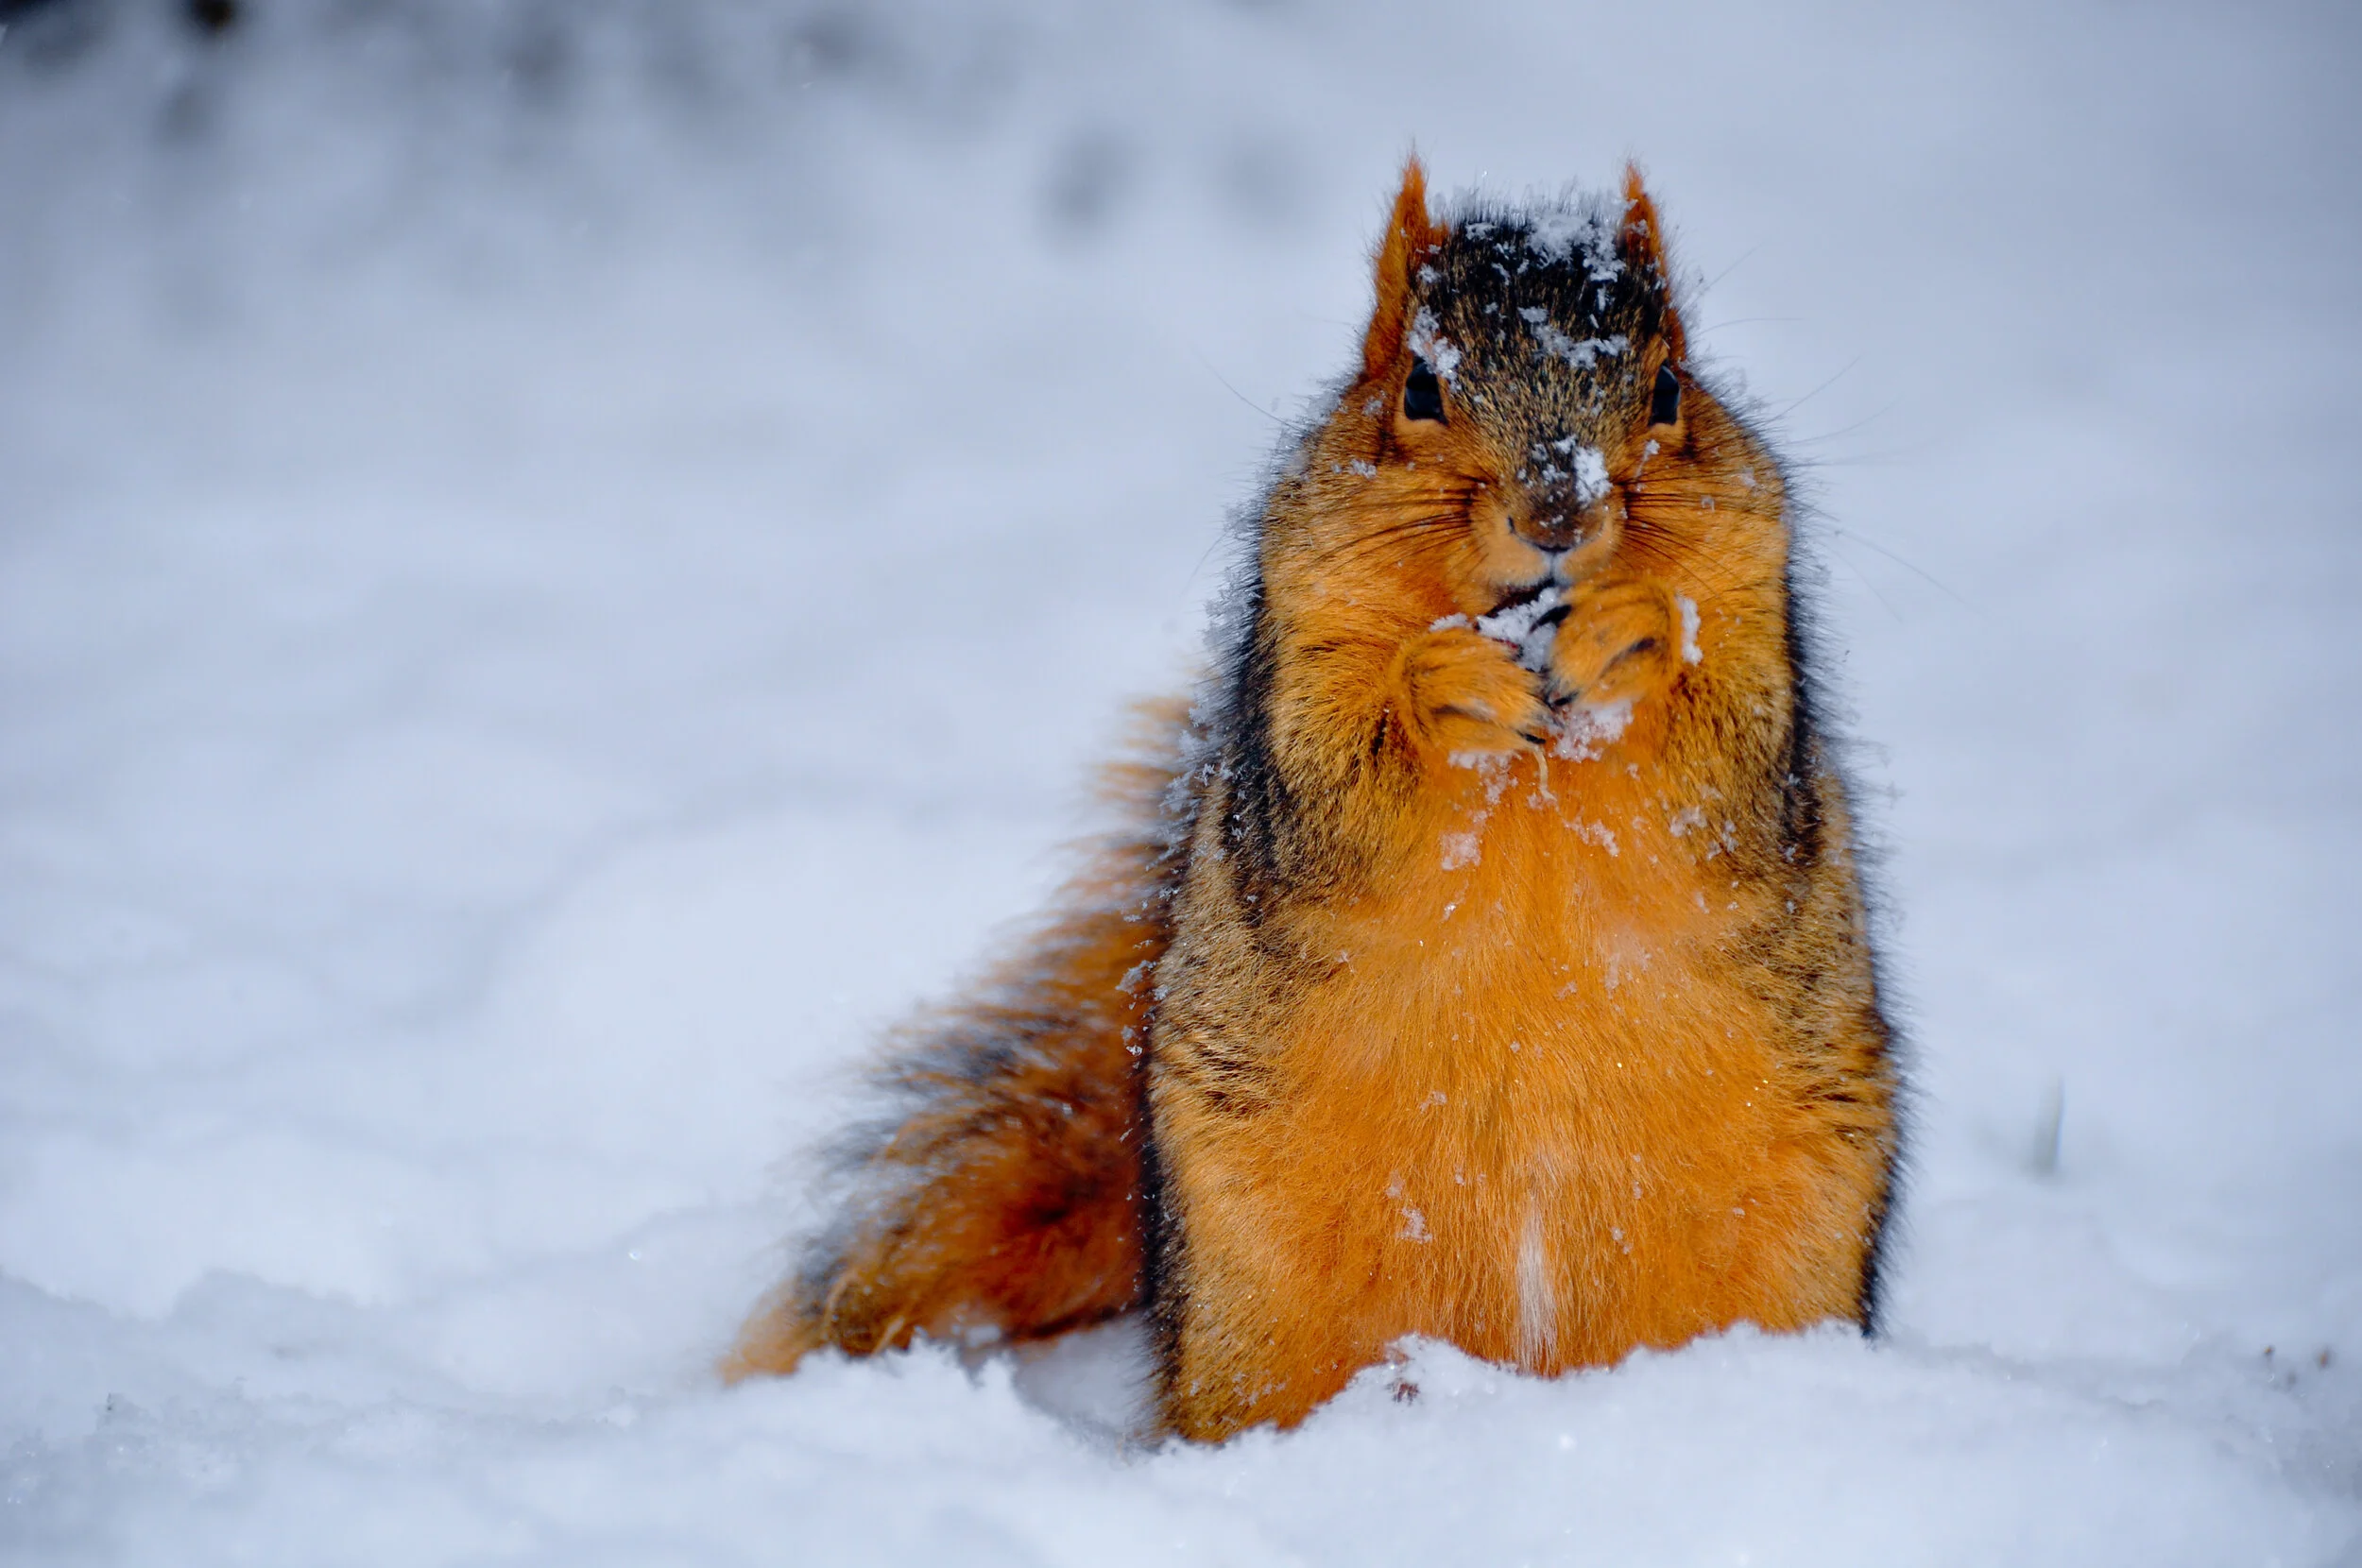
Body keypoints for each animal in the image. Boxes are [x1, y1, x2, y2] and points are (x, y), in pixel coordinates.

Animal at [725, 160, 1902, 1443]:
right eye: (1419, 388)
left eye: (1669, 388)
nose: (1558, 513)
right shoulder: (1292, 679)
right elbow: (1335, 797)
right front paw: (1440, 690)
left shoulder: (1757, 642)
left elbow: (1726, 776)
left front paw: (1634, 633)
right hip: (1252, 1308)